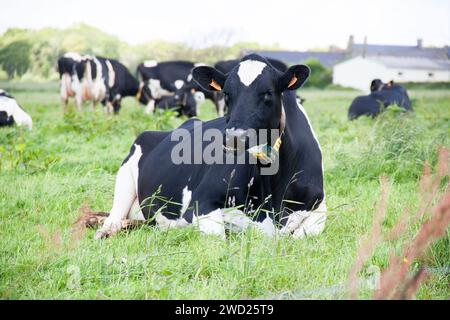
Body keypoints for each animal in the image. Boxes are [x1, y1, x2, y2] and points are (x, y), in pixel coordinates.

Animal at [95, 54, 326, 240]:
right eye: (226, 94)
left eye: (268, 92)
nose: (235, 137)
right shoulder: (201, 202)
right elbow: (220, 235)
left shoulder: (320, 208)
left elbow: (305, 234)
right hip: (125, 176)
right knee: (114, 216)